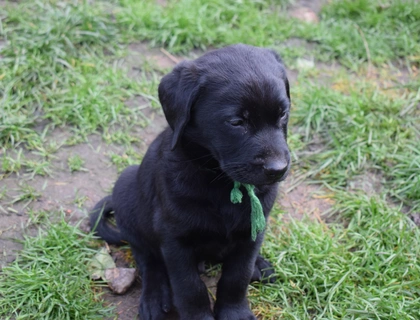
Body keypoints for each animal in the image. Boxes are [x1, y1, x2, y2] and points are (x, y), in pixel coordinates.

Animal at [90, 43, 290, 320]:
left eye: (283, 115)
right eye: (237, 122)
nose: (277, 170)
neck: (220, 183)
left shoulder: (252, 231)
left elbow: (237, 276)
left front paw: (235, 312)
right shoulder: (175, 240)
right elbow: (189, 287)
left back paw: (260, 265)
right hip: (126, 191)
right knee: (147, 258)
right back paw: (154, 298)